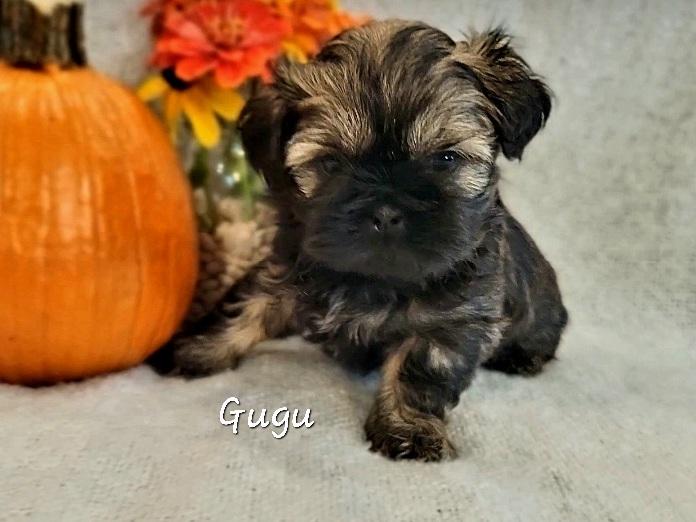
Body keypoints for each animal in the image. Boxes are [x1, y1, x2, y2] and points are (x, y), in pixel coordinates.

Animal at [156, 20, 568, 461]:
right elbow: (243, 308)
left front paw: (407, 428)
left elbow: (419, 367)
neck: (375, 279)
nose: (386, 211)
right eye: (331, 163)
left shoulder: (452, 319)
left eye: (446, 159)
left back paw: (522, 358)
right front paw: (194, 348)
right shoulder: (283, 270)